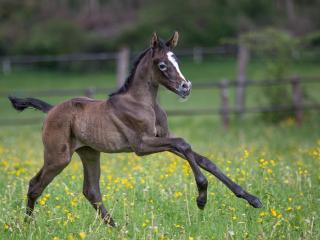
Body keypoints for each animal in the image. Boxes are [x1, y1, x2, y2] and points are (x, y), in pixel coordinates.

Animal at [8, 31, 262, 226]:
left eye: (177, 61)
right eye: (162, 64)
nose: (185, 87)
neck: (143, 103)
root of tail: (51, 109)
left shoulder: (163, 139)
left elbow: (202, 158)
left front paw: (252, 199)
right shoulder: (142, 145)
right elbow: (184, 143)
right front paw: (201, 197)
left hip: (89, 152)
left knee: (91, 190)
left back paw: (117, 227)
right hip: (58, 156)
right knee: (35, 185)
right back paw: (27, 225)